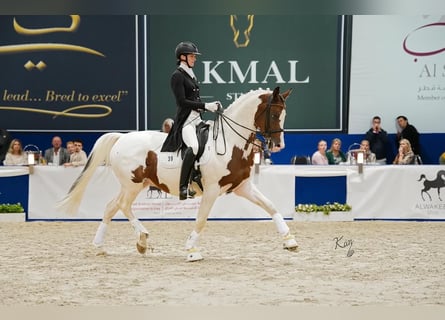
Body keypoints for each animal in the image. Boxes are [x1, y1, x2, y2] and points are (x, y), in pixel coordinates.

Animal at [57, 86, 296, 262]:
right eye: (274, 114)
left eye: (284, 114)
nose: (279, 145)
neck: (230, 142)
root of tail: (122, 137)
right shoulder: (212, 190)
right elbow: (201, 220)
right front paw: (191, 250)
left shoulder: (242, 186)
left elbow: (271, 205)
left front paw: (289, 240)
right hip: (132, 184)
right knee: (122, 205)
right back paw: (141, 239)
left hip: (137, 184)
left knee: (111, 206)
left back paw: (102, 246)